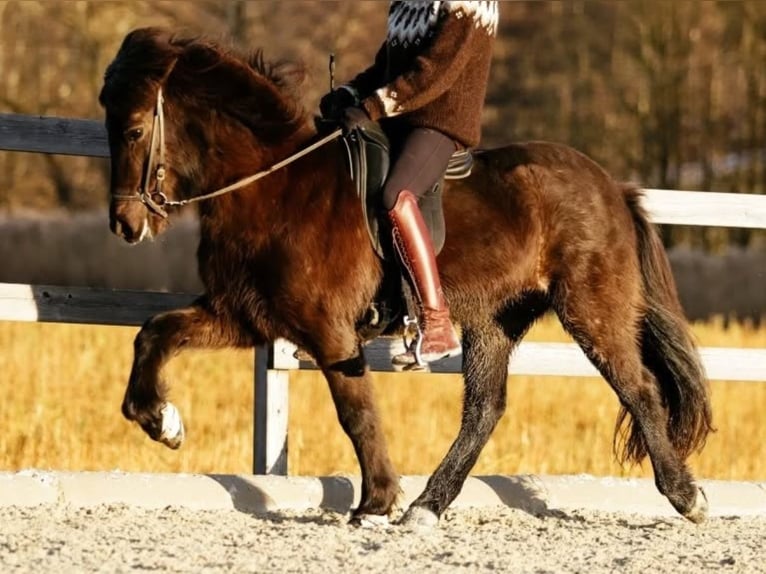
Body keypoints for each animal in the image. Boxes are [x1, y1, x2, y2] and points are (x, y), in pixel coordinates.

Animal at [100, 28, 712, 532]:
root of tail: (612, 187)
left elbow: (355, 412)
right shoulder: (244, 315)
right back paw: (427, 508)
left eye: (133, 129)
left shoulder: (329, 330)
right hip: (495, 321)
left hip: (591, 308)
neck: (275, 188)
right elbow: (154, 332)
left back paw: (687, 498)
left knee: (638, 389)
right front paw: (161, 421)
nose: (125, 225)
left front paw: (376, 500)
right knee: (484, 410)